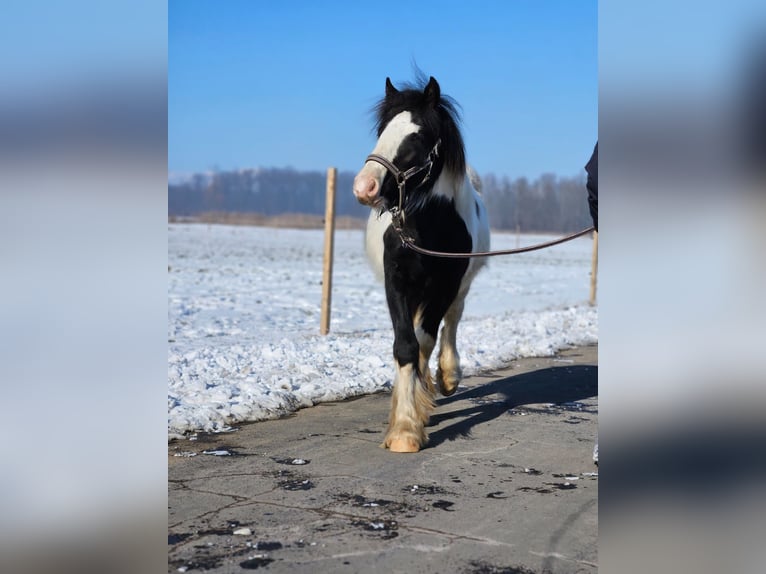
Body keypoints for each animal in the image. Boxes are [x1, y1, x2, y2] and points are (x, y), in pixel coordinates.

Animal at [354, 76, 492, 454]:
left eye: (416, 136)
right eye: (382, 130)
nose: (364, 187)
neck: (428, 224)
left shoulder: (446, 284)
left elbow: (425, 339)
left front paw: (411, 418)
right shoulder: (397, 281)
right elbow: (406, 345)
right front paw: (404, 426)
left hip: (460, 287)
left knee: (451, 322)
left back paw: (446, 377)